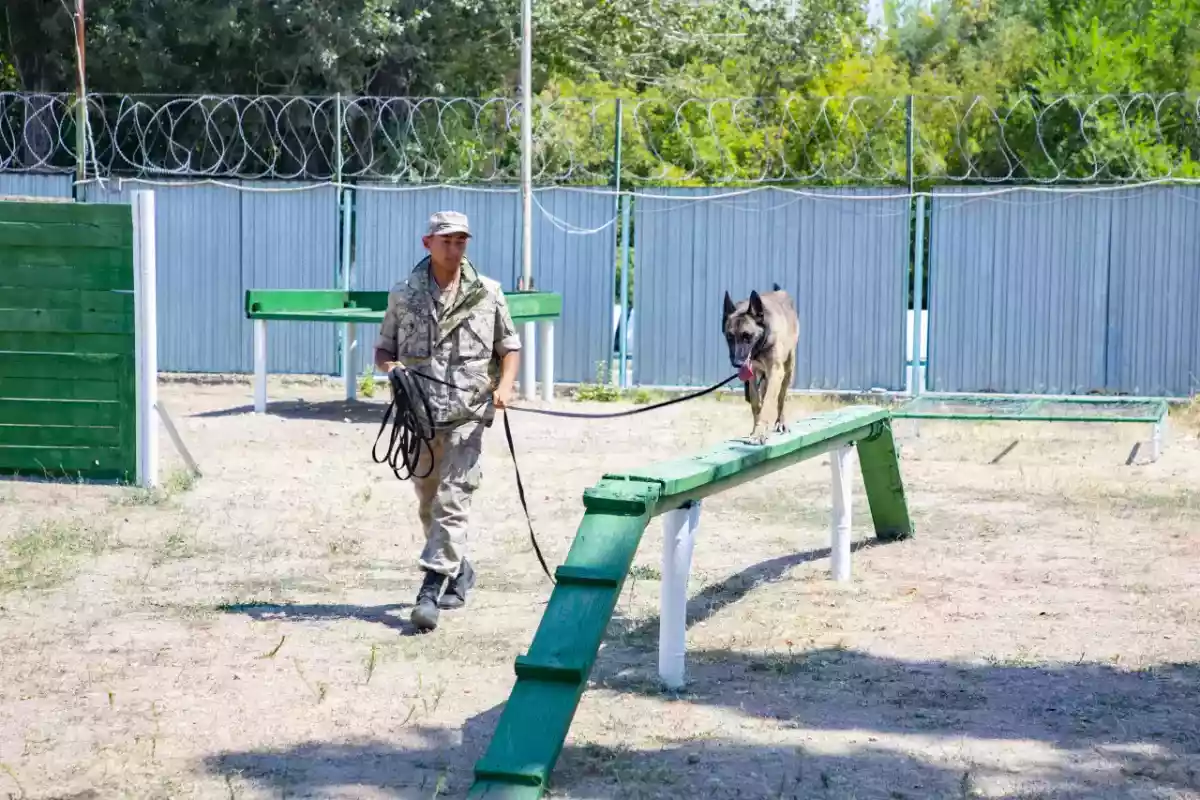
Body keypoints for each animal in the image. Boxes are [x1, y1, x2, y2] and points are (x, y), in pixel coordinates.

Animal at [724, 281, 801, 443]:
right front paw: (756, 429)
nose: (737, 363)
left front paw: (760, 432)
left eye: (747, 336)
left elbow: (769, 402)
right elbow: (755, 402)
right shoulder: (752, 375)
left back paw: (781, 422)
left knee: (781, 397)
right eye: (729, 337)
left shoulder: (775, 372)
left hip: (788, 370)